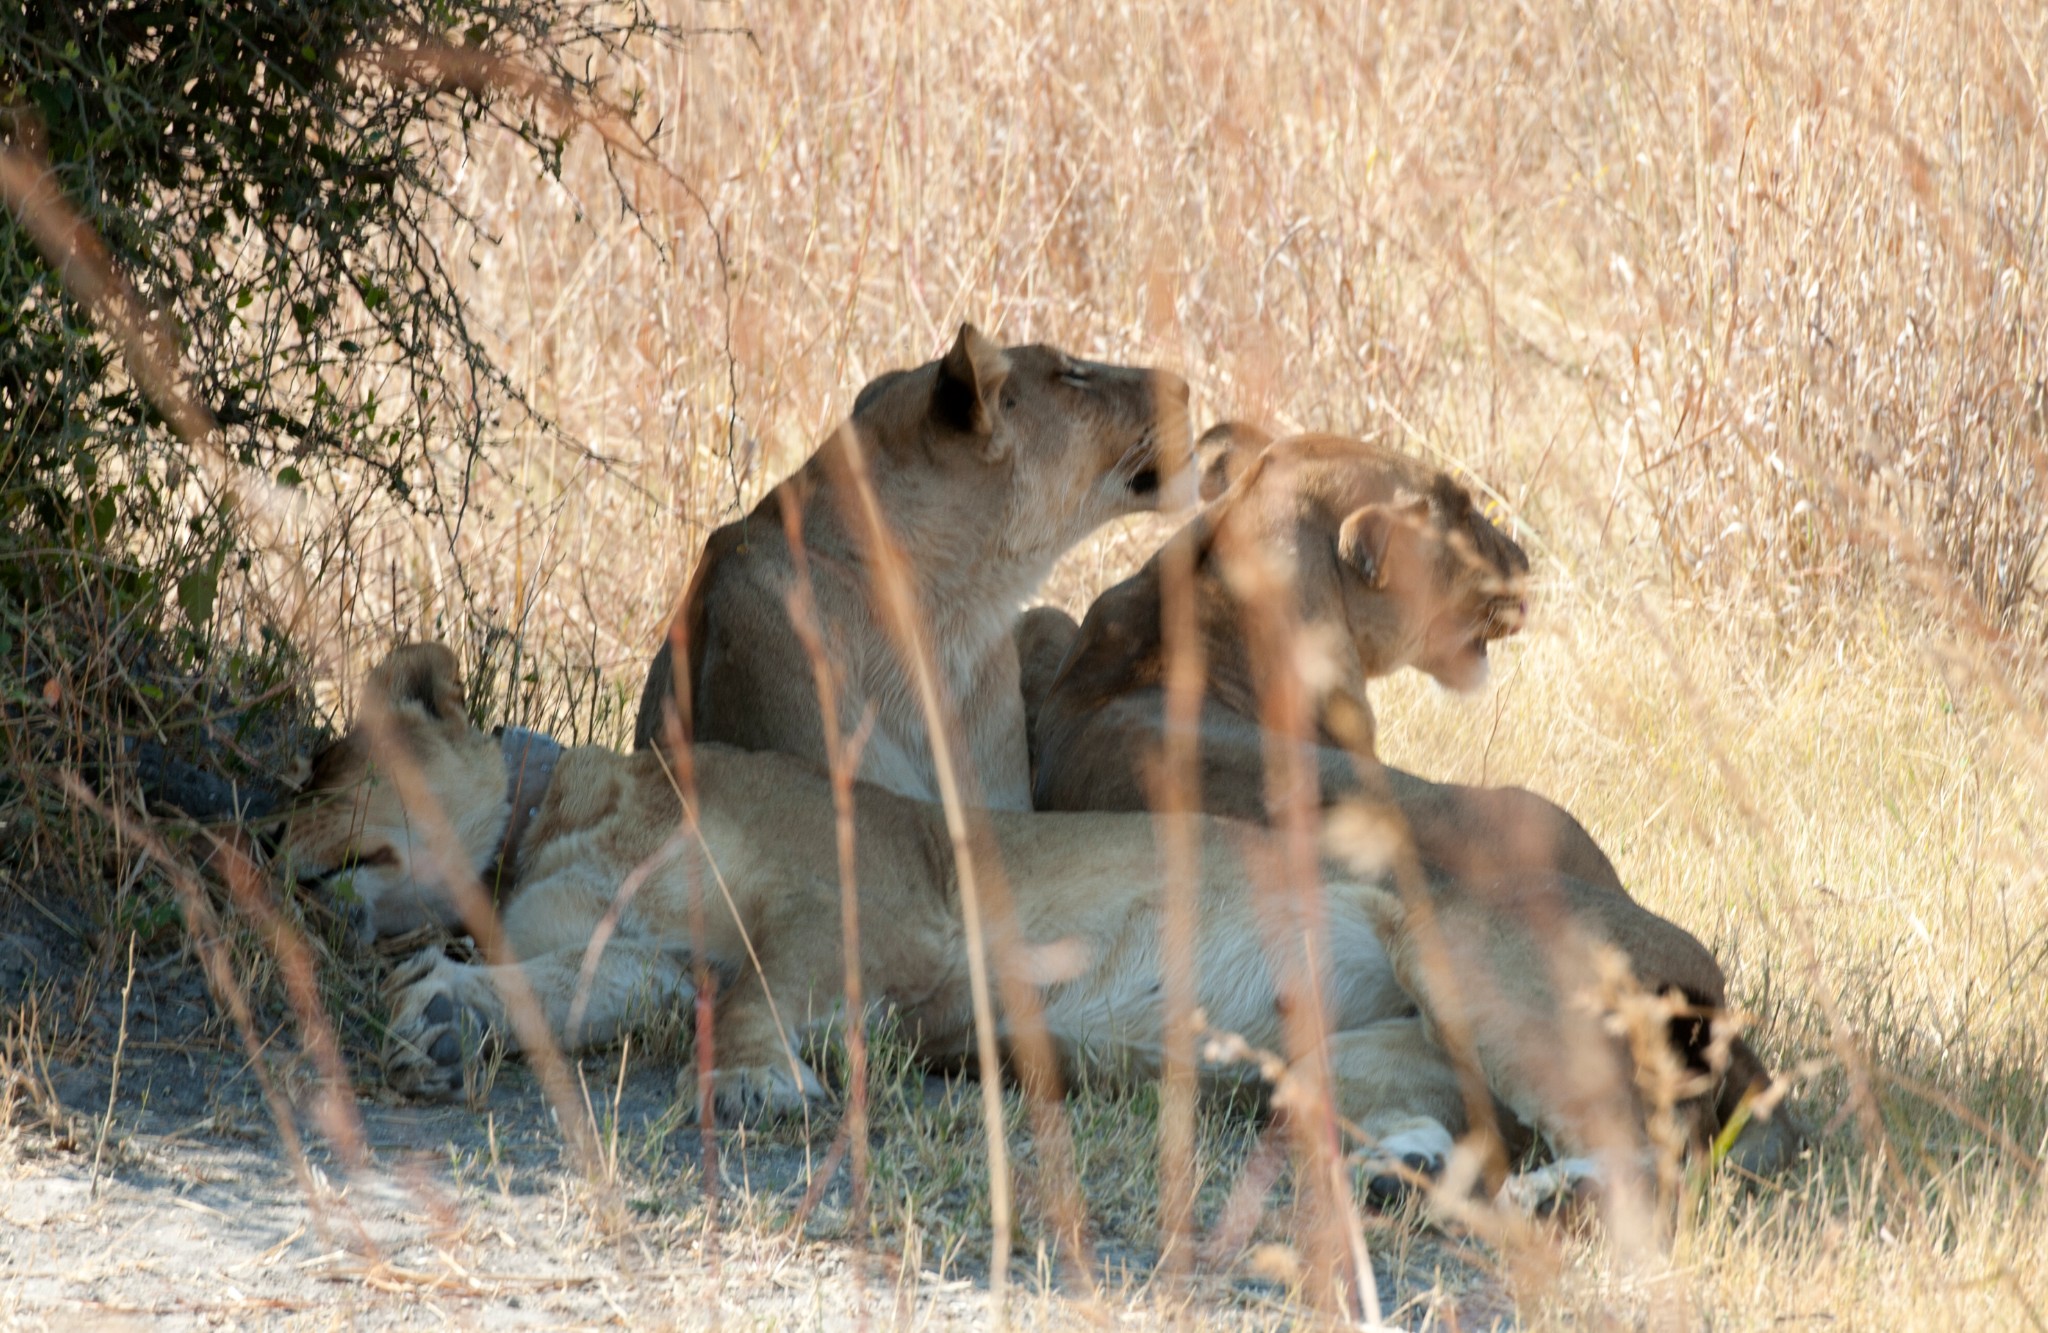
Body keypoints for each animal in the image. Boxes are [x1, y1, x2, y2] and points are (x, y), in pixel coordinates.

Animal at [284, 647, 1794, 1212]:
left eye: (327, 769)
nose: (273, 851)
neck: (550, 829)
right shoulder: (640, 966)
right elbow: (546, 992)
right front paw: (437, 1021)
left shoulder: (859, 905)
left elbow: (764, 997)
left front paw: (758, 1087)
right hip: (1350, 1058)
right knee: (1460, 1131)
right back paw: (1401, 1179)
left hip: (1469, 956)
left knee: (1647, 1152)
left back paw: (1552, 1200)